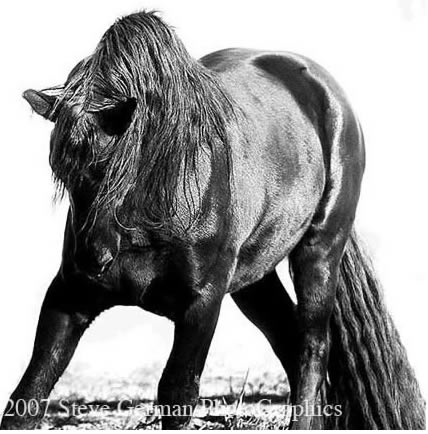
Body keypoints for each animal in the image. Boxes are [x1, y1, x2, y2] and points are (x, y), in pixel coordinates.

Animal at [0, 11, 424, 428]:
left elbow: (178, 392)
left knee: (312, 347)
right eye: (61, 170)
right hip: (254, 279)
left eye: (110, 168)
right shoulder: (69, 296)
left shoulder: (202, 302)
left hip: (318, 252)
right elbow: (29, 393)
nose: (92, 259)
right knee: (288, 339)